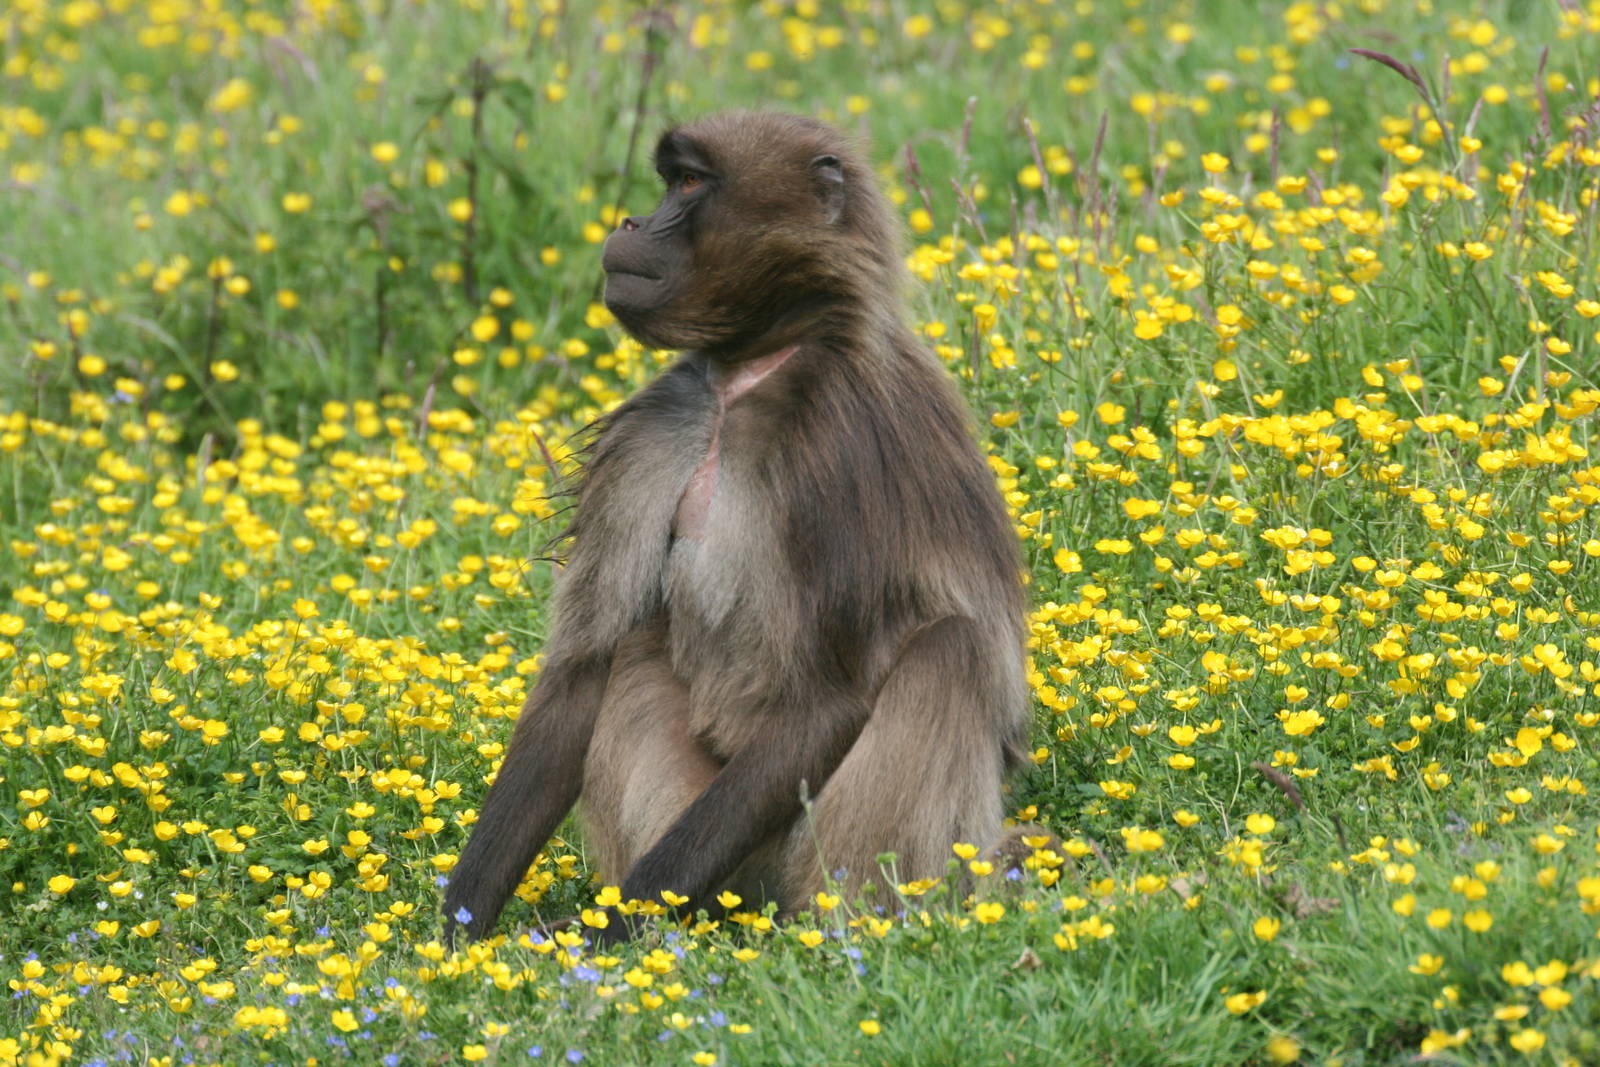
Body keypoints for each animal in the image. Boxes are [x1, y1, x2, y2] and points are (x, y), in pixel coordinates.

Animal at [443, 112, 1028, 945]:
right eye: (667, 182)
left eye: (689, 183)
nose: (630, 224)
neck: (753, 369)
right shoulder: (665, 423)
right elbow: (585, 667)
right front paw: (457, 932)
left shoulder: (837, 447)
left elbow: (835, 693)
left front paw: (605, 937)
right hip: (724, 853)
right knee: (638, 644)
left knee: (949, 647)